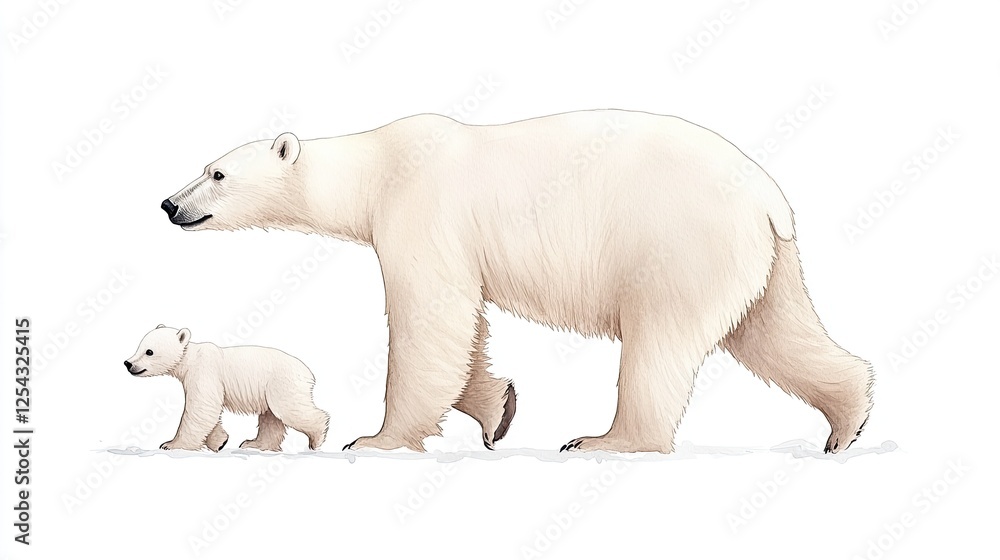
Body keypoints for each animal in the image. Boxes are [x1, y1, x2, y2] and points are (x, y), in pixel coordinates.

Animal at [124, 325, 330, 452]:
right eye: (139, 347)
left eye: (149, 351)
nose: (128, 363)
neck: (189, 359)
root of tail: (308, 373)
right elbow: (208, 411)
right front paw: (220, 441)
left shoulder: (204, 372)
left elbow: (200, 408)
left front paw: (171, 444)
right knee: (271, 418)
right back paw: (254, 444)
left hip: (282, 384)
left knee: (289, 410)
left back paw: (317, 439)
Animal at [160, 109, 874, 454]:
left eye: (217, 173)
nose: (169, 204)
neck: (376, 165)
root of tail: (769, 197)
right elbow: (466, 325)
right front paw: (497, 409)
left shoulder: (422, 209)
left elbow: (431, 317)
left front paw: (378, 437)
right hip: (763, 261)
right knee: (774, 333)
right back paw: (847, 422)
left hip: (677, 244)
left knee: (659, 342)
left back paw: (606, 440)